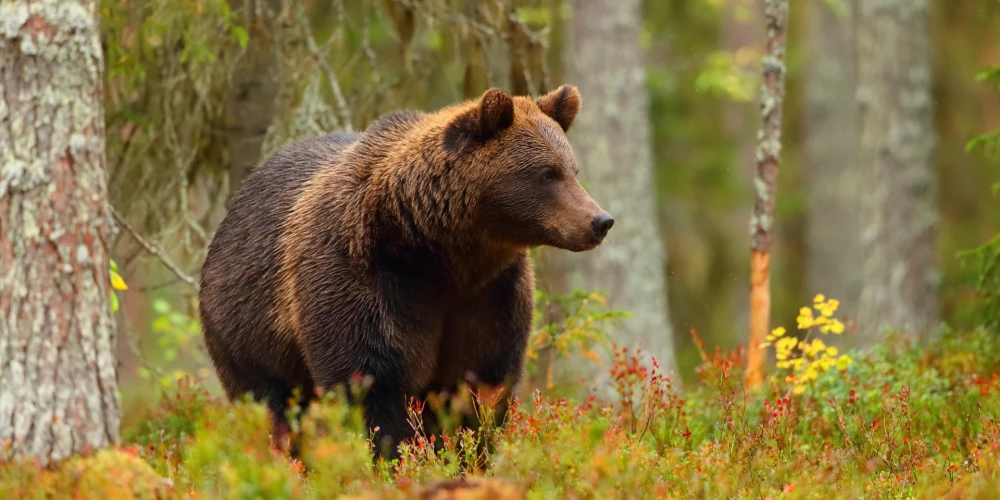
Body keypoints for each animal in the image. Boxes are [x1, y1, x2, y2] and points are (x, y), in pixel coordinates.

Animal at [199, 85, 612, 460]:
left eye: (572, 169)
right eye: (547, 173)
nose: (600, 220)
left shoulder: (489, 293)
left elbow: (479, 383)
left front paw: (466, 455)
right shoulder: (365, 278)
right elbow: (372, 382)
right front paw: (393, 458)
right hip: (248, 331)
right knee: (273, 406)